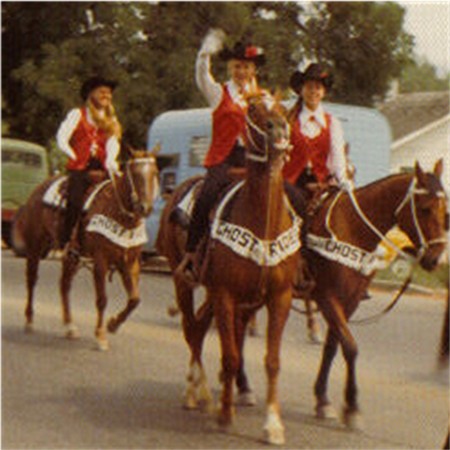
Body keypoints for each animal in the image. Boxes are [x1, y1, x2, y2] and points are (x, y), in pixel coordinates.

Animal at [16, 149, 160, 350]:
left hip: (70, 257)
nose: (145, 207)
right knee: (31, 280)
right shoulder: (101, 261)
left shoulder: (130, 263)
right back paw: (29, 320)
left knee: (64, 285)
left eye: (154, 172)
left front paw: (113, 324)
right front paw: (100, 335)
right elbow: (102, 300)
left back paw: (70, 326)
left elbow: (134, 299)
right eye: (135, 174)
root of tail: (39, 188)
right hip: (35, 247)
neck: (118, 213)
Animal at [156, 92, 298, 446]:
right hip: (185, 282)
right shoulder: (226, 294)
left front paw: (272, 425)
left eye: (284, 109)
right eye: (253, 109)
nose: (278, 131)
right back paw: (196, 392)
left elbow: (272, 361)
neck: (263, 226)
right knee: (191, 329)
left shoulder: (278, 297)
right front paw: (224, 415)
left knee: (199, 326)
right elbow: (231, 354)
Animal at [304, 160, 448, 428]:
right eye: (424, 209)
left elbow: (332, 347)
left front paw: (323, 400)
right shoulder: (327, 297)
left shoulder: (348, 302)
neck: (353, 229)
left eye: (446, 211)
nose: (435, 259)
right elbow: (350, 348)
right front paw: (352, 405)